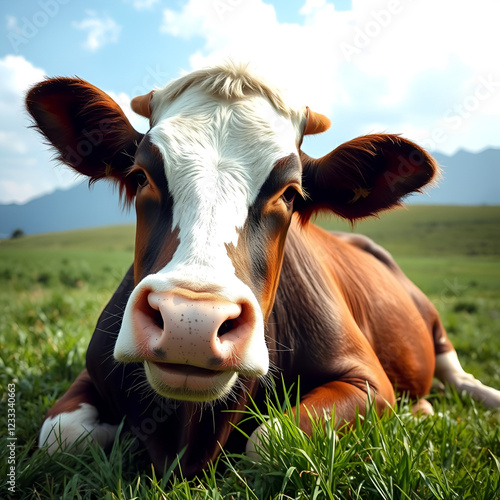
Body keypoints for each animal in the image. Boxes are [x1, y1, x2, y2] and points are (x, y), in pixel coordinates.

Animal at [27, 62, 500, 476]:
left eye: (290, 193)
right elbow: (62, 435)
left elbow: (270, 439)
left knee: (457, 374)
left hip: (430, 320)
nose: (191, 323)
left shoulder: (368, 380)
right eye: (142, 175)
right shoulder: (93, 368)